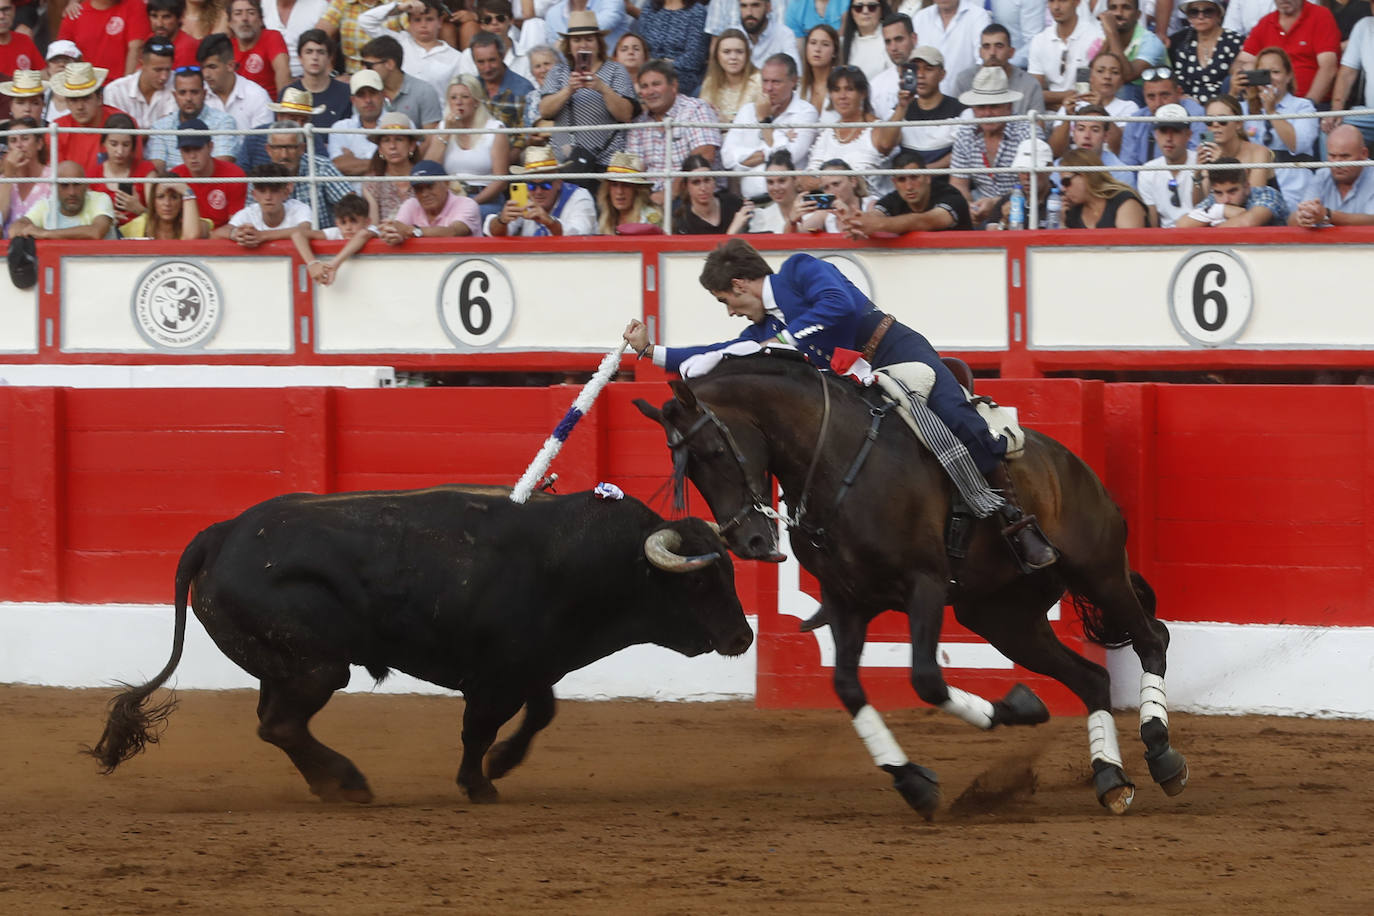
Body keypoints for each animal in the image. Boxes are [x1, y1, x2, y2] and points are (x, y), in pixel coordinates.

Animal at [88, 486, 752, 802]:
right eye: (700, 581)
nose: (744, 636)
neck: (580, 560)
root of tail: (221, 532)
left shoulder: (531, 665)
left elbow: (542, 712)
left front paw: (501, 764)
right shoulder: (494, 677)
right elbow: (477, 730)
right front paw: (479, 783)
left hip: (284, 665)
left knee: (275, 723)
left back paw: (331, 784)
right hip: (318, 666)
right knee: (281, 723)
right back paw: (348, 783)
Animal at [637, 354, 1187, 818]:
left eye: (714, 450)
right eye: (685, 467)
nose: (749, 540)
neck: (839, 460)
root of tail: (1071, 463)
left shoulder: (925, 585)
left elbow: (925, 677)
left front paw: (1013, 709)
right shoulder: (846, 603)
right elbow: (848, 687)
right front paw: (916, 780)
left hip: (1098, 569)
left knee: (1151, 637)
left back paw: (1161, 753)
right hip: (1002, 617)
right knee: (1090, 678)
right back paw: (1110, 777)